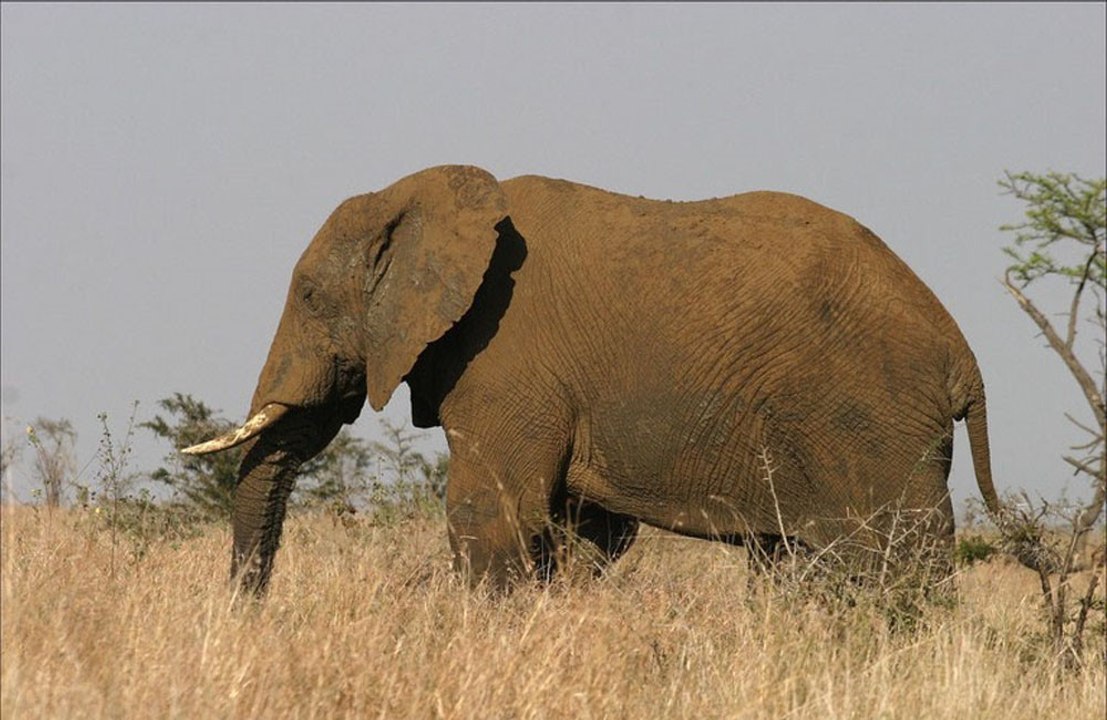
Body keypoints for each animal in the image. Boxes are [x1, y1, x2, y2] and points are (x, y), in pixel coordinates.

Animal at [184, 165, 1001, 595]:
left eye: (309, 297)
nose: (251, 616)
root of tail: (963, 355)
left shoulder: (505, 359)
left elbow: (488, 512)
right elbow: (585, 531)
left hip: (870, 420)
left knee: (892, 559)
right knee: (794, 563)